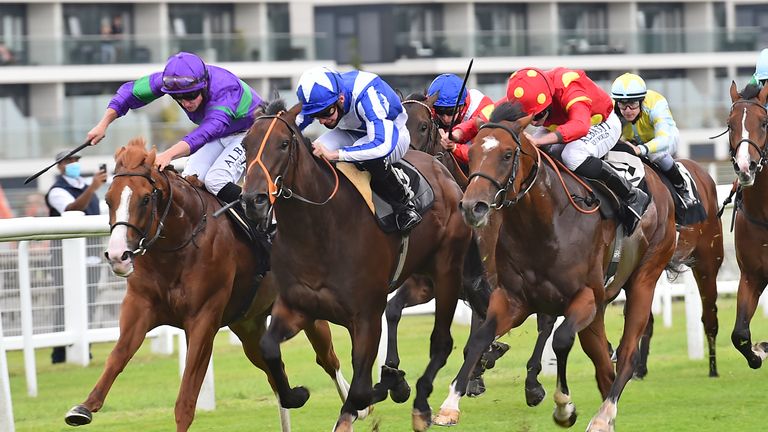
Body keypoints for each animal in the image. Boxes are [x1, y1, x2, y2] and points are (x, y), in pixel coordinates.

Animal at [63, 138, 356, 432]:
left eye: (145, 199)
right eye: (109, 199)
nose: (117, 255)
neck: (178, 246)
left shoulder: (203, 318)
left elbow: (186, 398)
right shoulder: (140, 306)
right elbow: (118, 355)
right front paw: (83, 407)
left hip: (308, 313)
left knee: (329, 360)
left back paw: (354, 412)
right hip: (248, 325)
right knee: (275, 372)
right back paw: (295, 397)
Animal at [240, 100, 488, 432]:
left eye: (282, 144)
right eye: (245, 145)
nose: (252, 200)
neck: (319, 230)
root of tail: (446, 177)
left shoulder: (366, 314)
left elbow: (358, 390)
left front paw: (382, 391)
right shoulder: (296, 306)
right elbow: (269, 348)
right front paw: (299, 393)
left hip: (447, 272)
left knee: (442, 342)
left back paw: (428, 406)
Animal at [432, 103, 680, 430]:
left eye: (507, 154)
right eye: (471, 153)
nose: (473, 207)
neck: (545, 224)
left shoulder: (585, 297)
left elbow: (561, 341)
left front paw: (564, 407)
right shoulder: (513, 299)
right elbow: (479, 339)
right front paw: (449, 405)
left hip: (644, 278)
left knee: (627, 355)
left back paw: (604, 415)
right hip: (600, 307)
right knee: (603, 364)